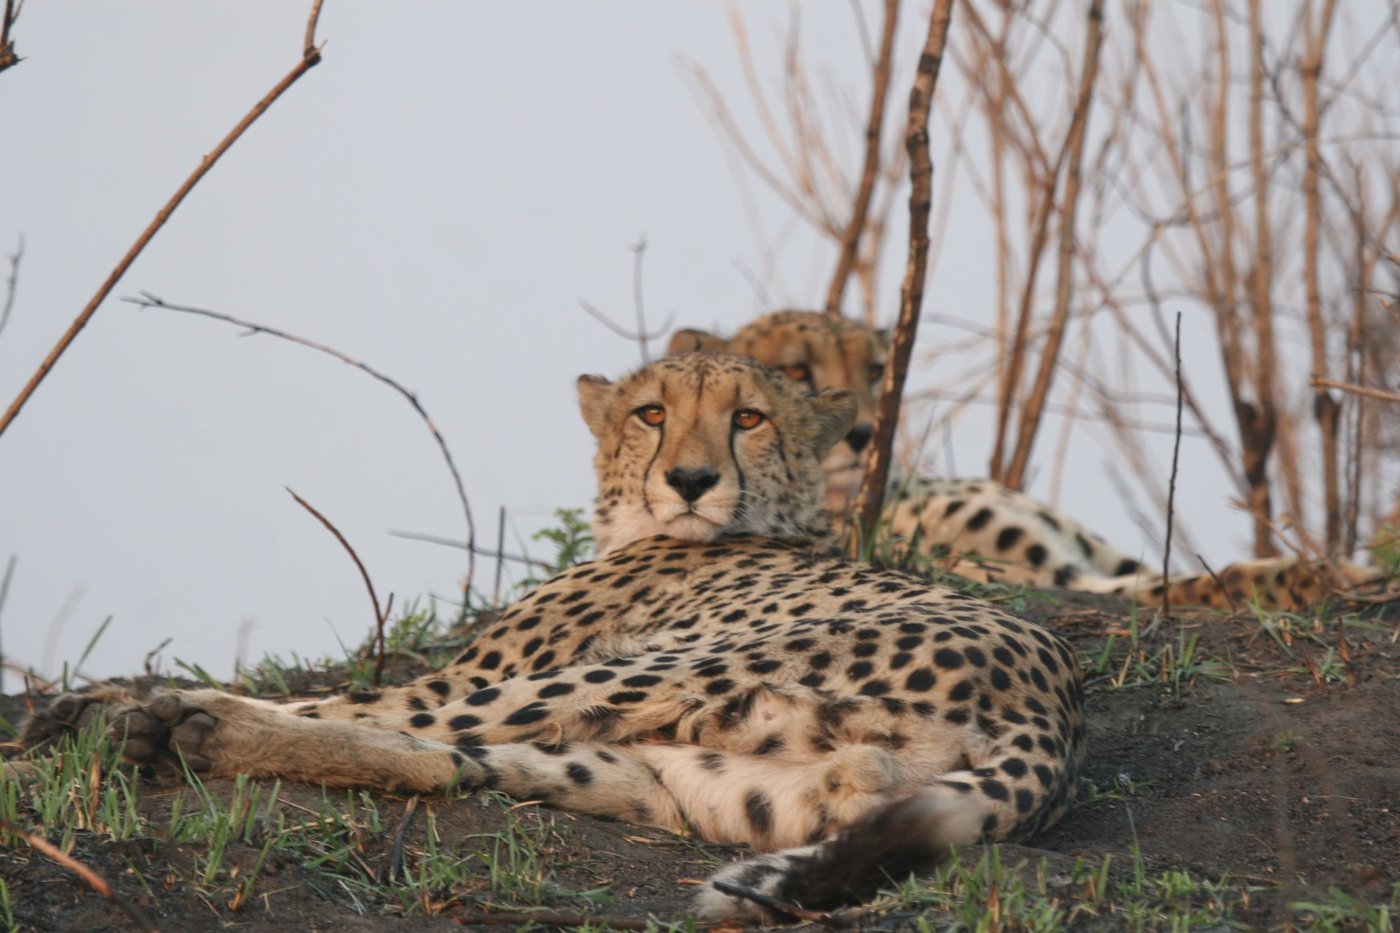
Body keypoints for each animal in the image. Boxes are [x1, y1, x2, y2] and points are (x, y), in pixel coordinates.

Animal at [19, 352, 1085, 921]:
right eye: (652, 413)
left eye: (748, 418)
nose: (691, 479)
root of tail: (1058, 704)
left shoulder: (482, 666)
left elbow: (348, 692)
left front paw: (111, 695)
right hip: (702, 781)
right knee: (454, 762)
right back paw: (156, 727)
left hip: (641, 672)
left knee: (414, 728)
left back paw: (167, 720)